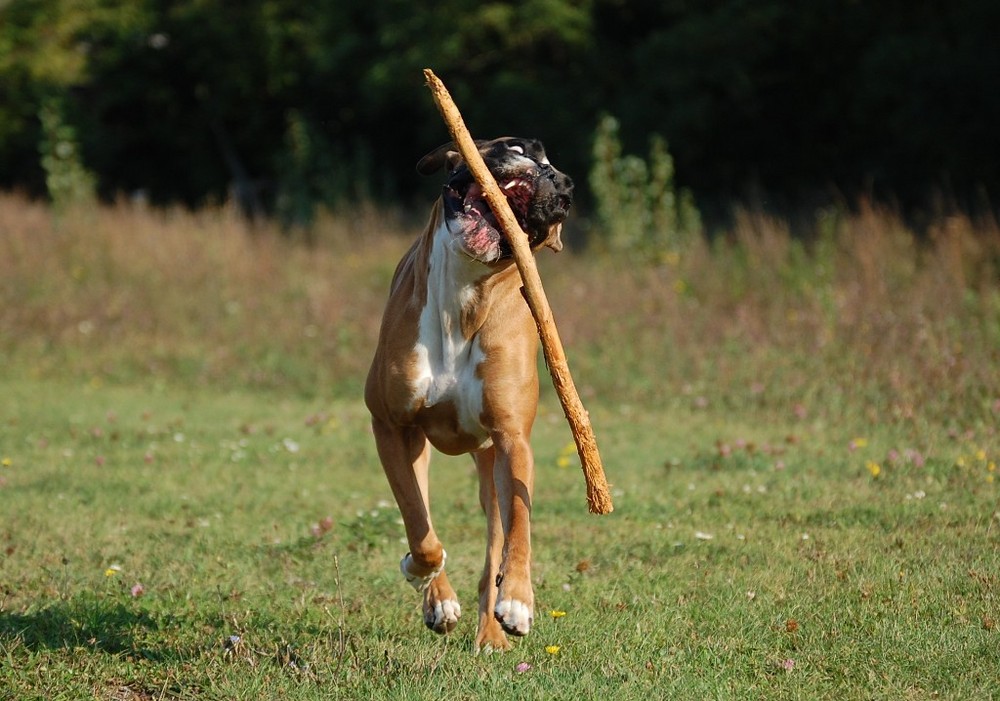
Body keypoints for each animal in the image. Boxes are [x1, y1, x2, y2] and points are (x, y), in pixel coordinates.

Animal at [364, 137, 576, 652]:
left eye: (563, 186)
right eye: (515, 146)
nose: (555, 179)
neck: (464, 295)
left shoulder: (512, 441)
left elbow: (519, 525)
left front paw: (518, 600)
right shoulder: (391, 427)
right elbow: (419, 527)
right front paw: (425, 581)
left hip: (490, 468)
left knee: (494, 545)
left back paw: (492, 633)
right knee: (422, 517)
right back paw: (438, 598)